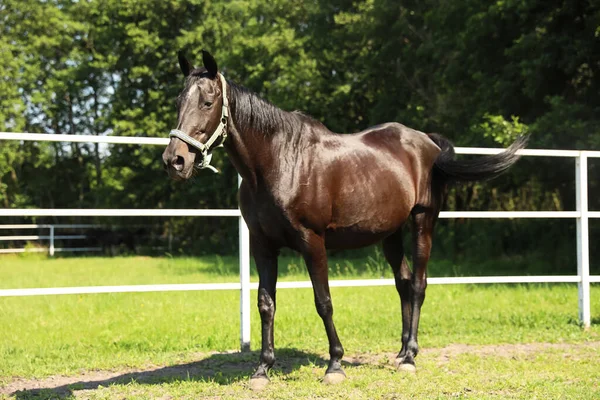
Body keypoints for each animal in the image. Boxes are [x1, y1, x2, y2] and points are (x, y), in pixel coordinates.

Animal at [162, 50, 524, 390]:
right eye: (179, 102)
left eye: (208, 102)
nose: (174, 161)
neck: (279, 161)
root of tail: (429, 143)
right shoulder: (262, 244)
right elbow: (266, 303)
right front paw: (263, 369)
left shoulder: (312, 241)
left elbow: (323, 302)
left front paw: (335, 365)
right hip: (390, 233)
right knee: (404, 283)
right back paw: (401, 352)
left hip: (424, 221)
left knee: (419, 284)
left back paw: (410, 357)